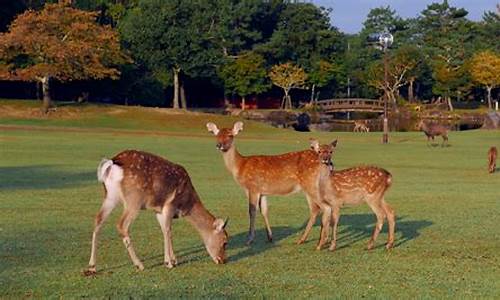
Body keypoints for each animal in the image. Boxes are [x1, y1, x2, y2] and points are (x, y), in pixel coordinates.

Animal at [84, 149, 229, 276]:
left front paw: (174, 260)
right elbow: (168, 230)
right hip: (134, 199)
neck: (186, 204)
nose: (222, 260)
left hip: (110, 197)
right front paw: (169, 263)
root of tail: (113, 162)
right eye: (224, 241)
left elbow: (166, 231)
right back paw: (139, 264)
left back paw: (92, 266)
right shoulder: (170, 205)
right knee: (121, 224)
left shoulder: (158, 210)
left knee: (98, 219)